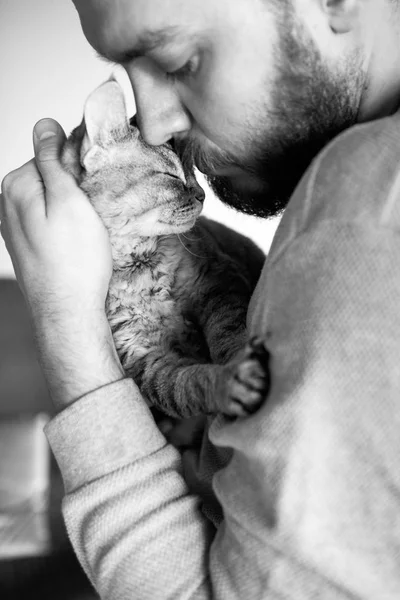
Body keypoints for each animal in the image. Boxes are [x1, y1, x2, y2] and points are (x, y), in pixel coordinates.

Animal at [61, 78, 268, 418]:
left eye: (193, 174)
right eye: (170, 176)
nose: (201, 196)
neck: (139, 267)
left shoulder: (218, 280)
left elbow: (228, 333)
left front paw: (237, 361)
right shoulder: (142, 357)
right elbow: (188, 383)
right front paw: (225, 383)